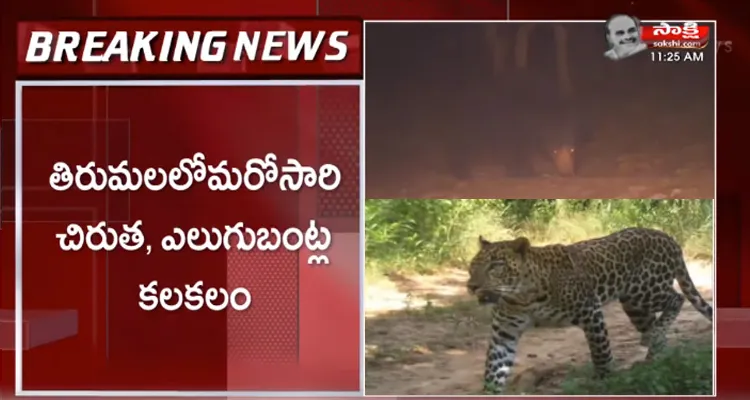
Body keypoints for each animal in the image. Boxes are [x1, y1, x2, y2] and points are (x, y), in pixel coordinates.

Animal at [468, 228, 712, 394]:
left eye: (496, 266)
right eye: (472, 267)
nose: (471, 286)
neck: (521, 298)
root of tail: (669, 238)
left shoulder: (590, 311)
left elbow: (600, 351)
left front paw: (605, 381)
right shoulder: (504, 332)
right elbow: (494, 369)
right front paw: (490, 391)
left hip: (645, 289)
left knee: (676, 298)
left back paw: (654, 339)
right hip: (634, 305)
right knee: (653, 324)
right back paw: (654, 357)